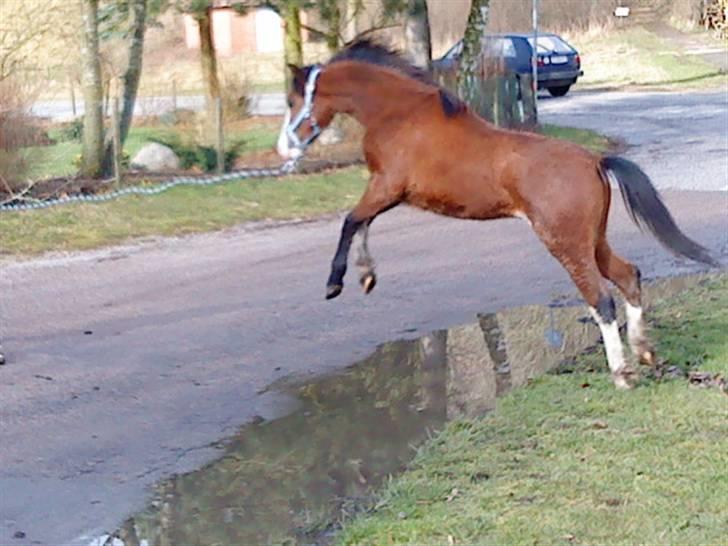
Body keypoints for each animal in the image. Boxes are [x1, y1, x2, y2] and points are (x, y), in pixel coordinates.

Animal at [278, 40, 716, 388]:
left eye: (293, 101)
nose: (284, 149)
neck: (399, 114)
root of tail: (595, 160)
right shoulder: (388, 192)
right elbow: (362, 222)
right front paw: (366, 275)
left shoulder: (386, 187)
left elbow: (351, 220)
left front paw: (336, 282)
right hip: (594, 240)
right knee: (628, 276)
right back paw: (644, 352)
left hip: (566, 243)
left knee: (601, 299)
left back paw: (622, 374)